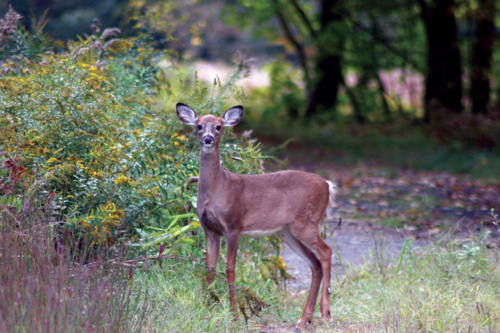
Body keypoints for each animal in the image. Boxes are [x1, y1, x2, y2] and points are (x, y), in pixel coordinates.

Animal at [176, 102, 336, 326]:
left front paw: (234, 315)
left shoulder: (233, 224)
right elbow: (209, 268)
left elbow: (230, 269)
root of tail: (327, 185)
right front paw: (205, 309)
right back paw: (304, 320)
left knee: (326, 252)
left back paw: (325, 312)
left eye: (218, 126)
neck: (217, 188)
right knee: (315, 263)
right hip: (287, 231)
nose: (207, 138)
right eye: (199, 125)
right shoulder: (209, 229)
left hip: (305, 222)